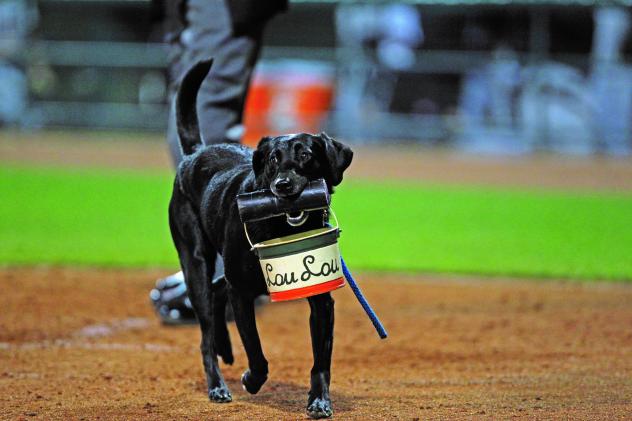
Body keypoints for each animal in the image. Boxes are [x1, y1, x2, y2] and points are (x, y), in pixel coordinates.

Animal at [168, 59, 354, 416]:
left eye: (306, 155)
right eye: (272, 159)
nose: (282, 185)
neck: (281, 227)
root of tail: (195, 153)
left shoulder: (322, 299)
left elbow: (321, 360)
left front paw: (320, 400)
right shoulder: (242, 292)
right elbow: (255, 349)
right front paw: (251, 380)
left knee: (217, 294)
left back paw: (225, 349)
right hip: (195, 262)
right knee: (205, 330)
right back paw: (217, 385)